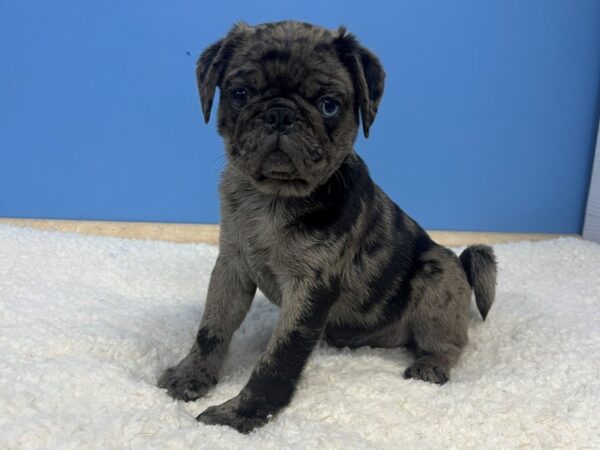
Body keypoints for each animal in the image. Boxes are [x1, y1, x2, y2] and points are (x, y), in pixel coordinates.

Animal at [157, 20, 494, 432]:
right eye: (239, 95)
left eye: (328, 106)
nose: (279, 114)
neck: (272, 199)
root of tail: (460, 265)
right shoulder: (231, 268)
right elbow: (212, 328)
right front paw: (191, 374)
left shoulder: (310, 288)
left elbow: (279, 358)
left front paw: (239, 415)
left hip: (438, 276)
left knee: (449, 343)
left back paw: (430, 365)